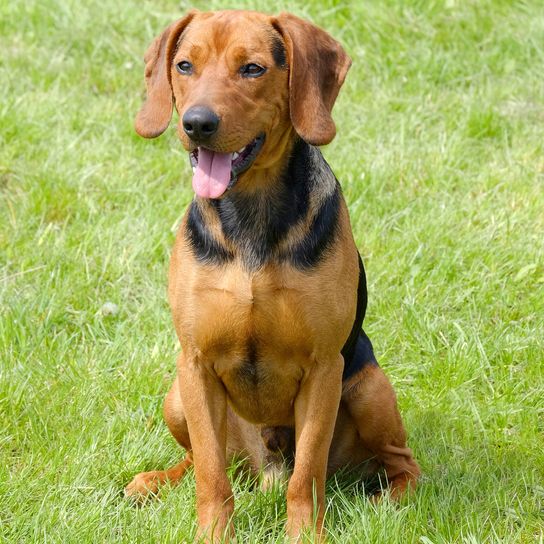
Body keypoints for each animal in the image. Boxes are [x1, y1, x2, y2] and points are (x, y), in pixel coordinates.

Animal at [124, 8, 420, 540]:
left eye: (253, 69)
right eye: (184, 65)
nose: (196, 123)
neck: (251, 212)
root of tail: (263, 469)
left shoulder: (324, 368)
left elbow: (307, 478)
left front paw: (305, 535)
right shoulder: (195, 363)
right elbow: (210, 476)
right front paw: (212, 534)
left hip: (367, 386)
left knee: (399, 462)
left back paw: (388, 501)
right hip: (178, 396)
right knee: (201, 460)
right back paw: (156, 480)